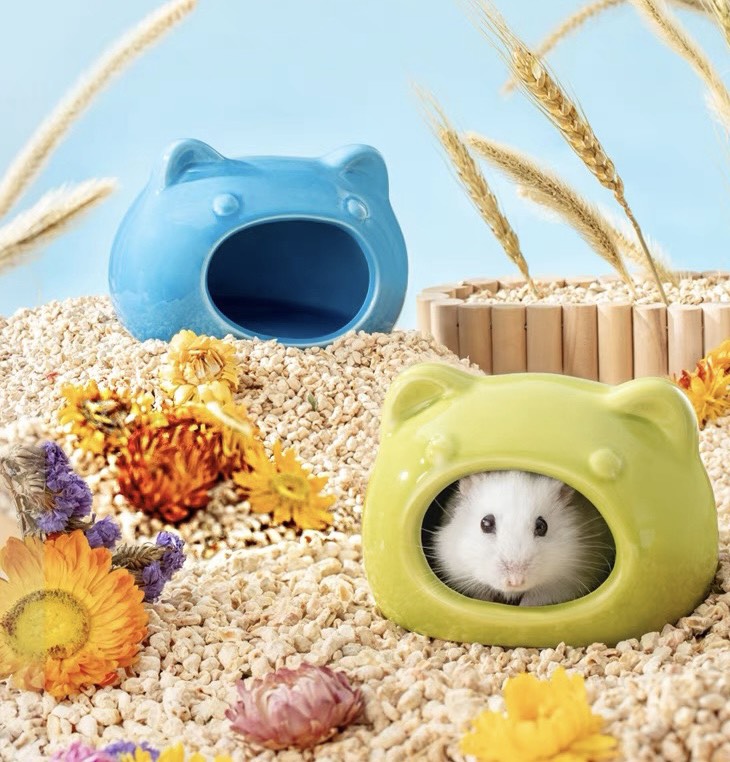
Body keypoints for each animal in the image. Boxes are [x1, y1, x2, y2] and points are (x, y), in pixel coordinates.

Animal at [430, 471, 615, 606]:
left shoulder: (563, 582)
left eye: (542, 526)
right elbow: (482, 594)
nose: (515, 581)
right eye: (486, 523)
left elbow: (533, 599)